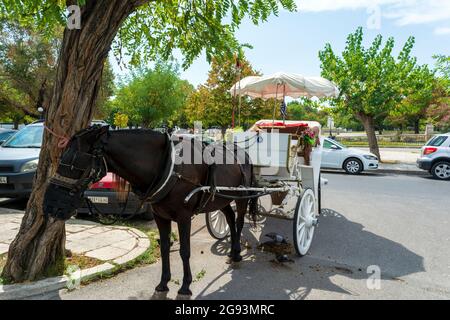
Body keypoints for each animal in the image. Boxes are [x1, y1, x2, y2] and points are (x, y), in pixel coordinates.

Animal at [44, 125, 258, 296]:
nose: (50, 205)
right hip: (222, 200)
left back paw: (237, 254)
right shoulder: (160, 216)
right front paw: (163, 283)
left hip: (241, 197)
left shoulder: (184, 217)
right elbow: (164, 248)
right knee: (229, 218)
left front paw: (185, 286)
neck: (169, 166)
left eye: (75, 163)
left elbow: (185, 251)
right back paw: (232, 252)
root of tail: (243, 153)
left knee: (239, 222)